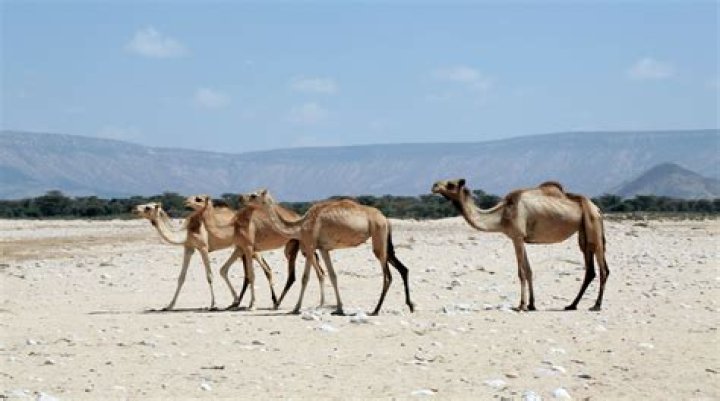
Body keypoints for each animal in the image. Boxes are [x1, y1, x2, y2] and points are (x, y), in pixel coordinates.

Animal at [132, 202, 276, 310]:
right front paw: (169, 305)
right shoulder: (188, 248)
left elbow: (209, 276)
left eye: (148, 207)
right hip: (240, 247)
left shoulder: (203, 247)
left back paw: (272, 302)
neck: (187, 231)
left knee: (266, 269)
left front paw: (213, 304)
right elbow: (181, 277)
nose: (134, 209)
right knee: (228, 270)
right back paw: (240, 302)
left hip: (249, 246)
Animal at [185, 194, 326, 310]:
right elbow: (226, 270)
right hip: (299, 246)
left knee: (292, 275)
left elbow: (250, 275)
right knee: (317, 267)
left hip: (293, 246)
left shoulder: (247, 248)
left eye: (198, 199)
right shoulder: (241, 248)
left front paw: (250, 304)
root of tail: (298, 217)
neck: (232, 226)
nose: (186, 202)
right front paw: (235, 302)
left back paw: (278, 303)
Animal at [245, 189, 414, 316]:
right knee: (403, 268)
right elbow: (332, 276)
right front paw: (339, 308)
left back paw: (376, 310)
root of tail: (385, 219)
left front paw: (295, 308)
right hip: (384, 240)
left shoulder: (310, 245)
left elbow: (305, 278)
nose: (243, 198)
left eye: (254, 195)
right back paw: (410, 305)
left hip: (378, 237)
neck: (300, 226)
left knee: (388, 276)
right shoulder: (323, 249)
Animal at [431, 179, 609, 311]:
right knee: (590, 269)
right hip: (584, 233)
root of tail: (597, 209)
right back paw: (572, 305)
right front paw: (531, 305)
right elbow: (529, 271)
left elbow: (521, 272)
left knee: (603, 269)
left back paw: (596, 305)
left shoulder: (516, 236)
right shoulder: (522, 239)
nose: (434, 186)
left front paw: (521, 305)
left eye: (451, 184)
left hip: (593, 226)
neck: (502, 215)